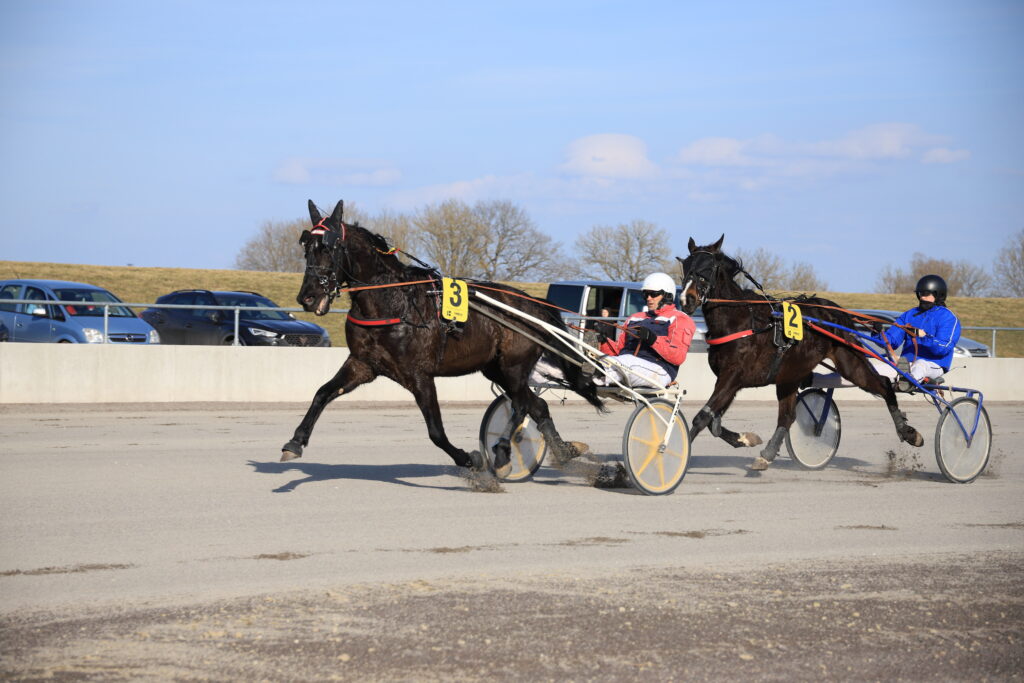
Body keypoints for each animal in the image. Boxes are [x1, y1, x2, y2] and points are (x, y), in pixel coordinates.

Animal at [282, 199, 603, 478]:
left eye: (329, 247)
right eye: (307, 248)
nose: (307, 297)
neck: (393, 302)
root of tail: (534, 304)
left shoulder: (419, 374)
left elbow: (436, 430)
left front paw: (469, 459)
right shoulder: (363, 364)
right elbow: (322, 393)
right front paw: (295, 442)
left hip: (514, 365)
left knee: (523, 405)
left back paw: (501, 453)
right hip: (496, 368)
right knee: (537, 406)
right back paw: (565, 452)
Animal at [677, 235, 924, 470]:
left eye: (708, 268)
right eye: (686, 266)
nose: (685, 299)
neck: (740, 321)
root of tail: (839, 312)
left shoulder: (733, 377)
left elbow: (702, 418)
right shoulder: (727, 380)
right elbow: (714, 423)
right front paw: (747, 438)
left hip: (849, 362)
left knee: (884, 385)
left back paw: (909, 433)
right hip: (790, 374)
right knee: (787, 417)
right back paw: (767, 455)